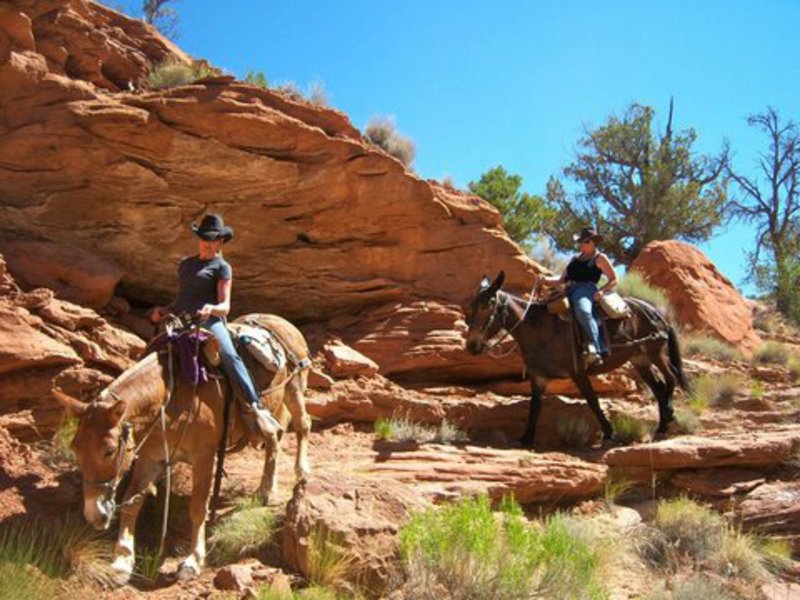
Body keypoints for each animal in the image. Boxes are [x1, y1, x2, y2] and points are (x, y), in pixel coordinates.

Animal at [51, 314, 310, 580]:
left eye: (109, 451)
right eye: (75, 448)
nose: (94, 515)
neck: (171, 400)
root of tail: (279, 321)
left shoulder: (204, 456)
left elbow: (198, 507)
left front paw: (192, 561)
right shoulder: (150, 457)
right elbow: (132, 503)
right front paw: (122, 560)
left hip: (294, 389)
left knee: (302, 425)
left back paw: (300, 472)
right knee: (274, 437)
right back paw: (266, 489)